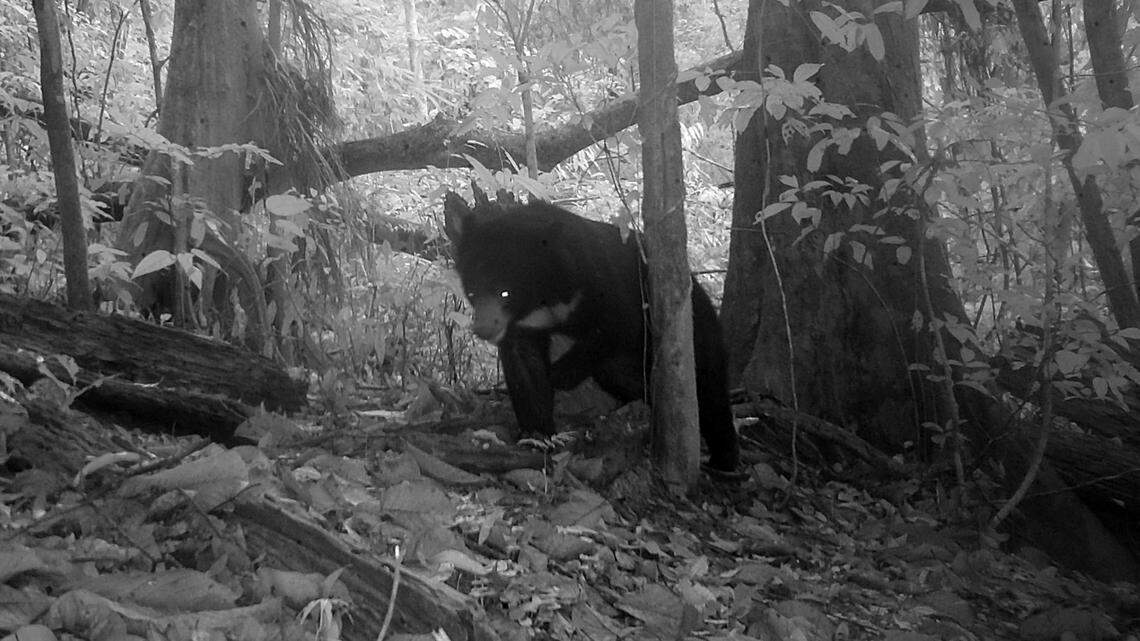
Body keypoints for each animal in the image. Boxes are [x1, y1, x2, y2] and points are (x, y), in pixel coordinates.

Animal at [443, 191, 739, 472]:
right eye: (472, 292)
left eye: (505, 292)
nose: (483, 329)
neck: (543, 297)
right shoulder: (523, 327)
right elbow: (525, 369)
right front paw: (539, 436)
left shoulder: (600, 281)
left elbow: (617, 325)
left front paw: (559, 374)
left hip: (696, 333)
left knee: (709, 391)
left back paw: (723, 460)